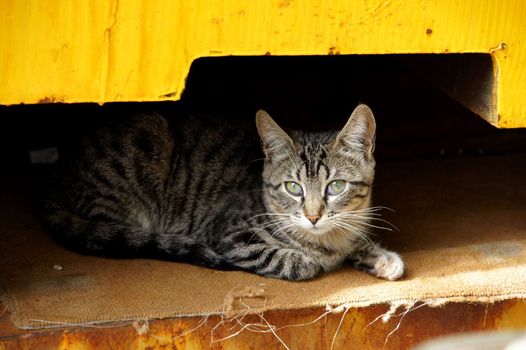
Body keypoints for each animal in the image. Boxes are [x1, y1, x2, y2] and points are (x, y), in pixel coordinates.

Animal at [45, 104, 406, 282]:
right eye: (293, 187)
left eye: (336, 186)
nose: (314, 216)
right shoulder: (231, 235)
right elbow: (301, 263)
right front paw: (315, 259)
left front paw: (378, 257)